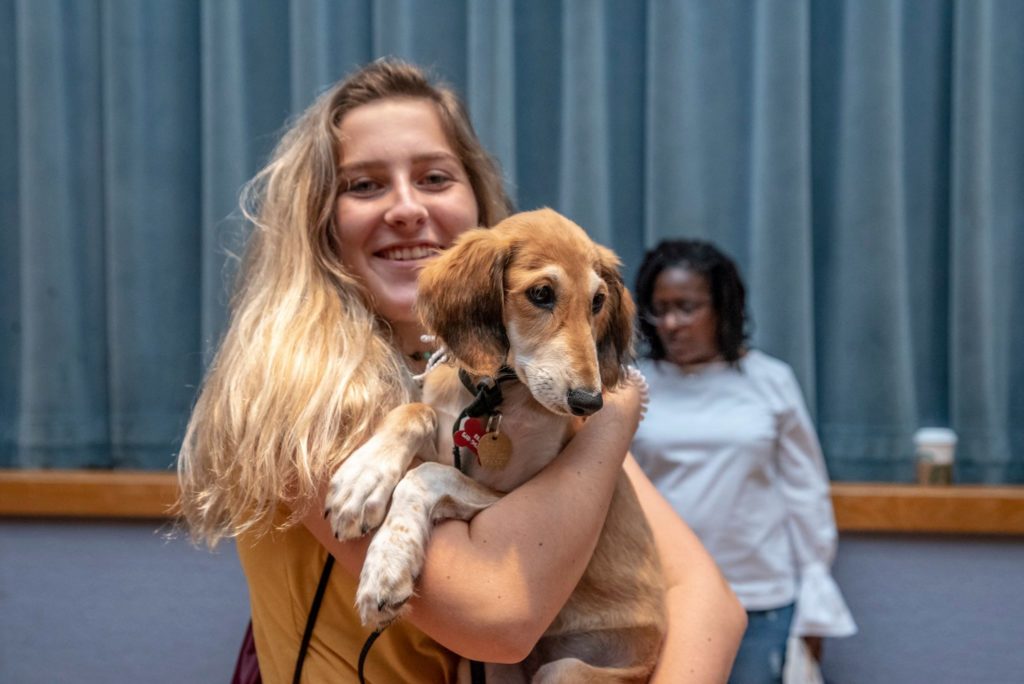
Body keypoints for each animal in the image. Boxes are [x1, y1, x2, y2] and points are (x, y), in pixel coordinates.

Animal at [323, 209, 667, 684]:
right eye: (541, 294)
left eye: (598, 302)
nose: (589, 402)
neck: (492, 401)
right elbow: (416, 411)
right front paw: (364, 478)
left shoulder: (508, 496)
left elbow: (428, 474)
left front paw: (386, 568)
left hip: (567, 671)